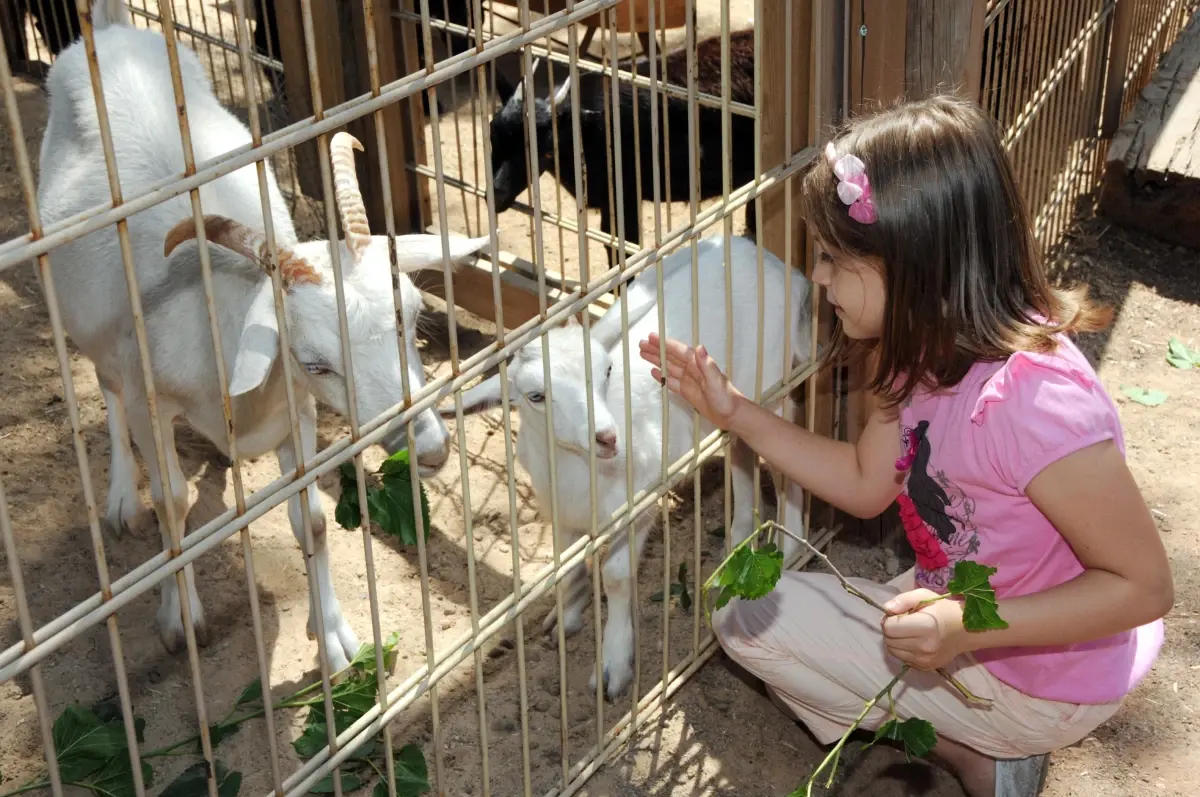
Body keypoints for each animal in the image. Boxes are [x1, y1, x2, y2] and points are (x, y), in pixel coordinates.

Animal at [38, 0, 487, 672]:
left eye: (409, 318)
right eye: (317, 360)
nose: (431, 450)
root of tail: (110, 33)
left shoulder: (294, 411)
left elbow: (314, 520)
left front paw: (335, 640)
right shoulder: (154, 397)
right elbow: (172, 501)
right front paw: (180, 619)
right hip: (93, 327)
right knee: (105, 387)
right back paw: (120, 499)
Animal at [446, 235, 811, 696]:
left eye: (606, 371)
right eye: (535, 396)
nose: (607, 437)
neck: (578, 472)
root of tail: (775, 264)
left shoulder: (638, 504)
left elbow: (616, 576)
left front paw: (613, 666)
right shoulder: (560, 513)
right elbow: (567, 569)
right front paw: (565, 618)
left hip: (771, 382)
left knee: (785, 461)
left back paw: (792, 546)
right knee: (742, 458)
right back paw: (737, 542)